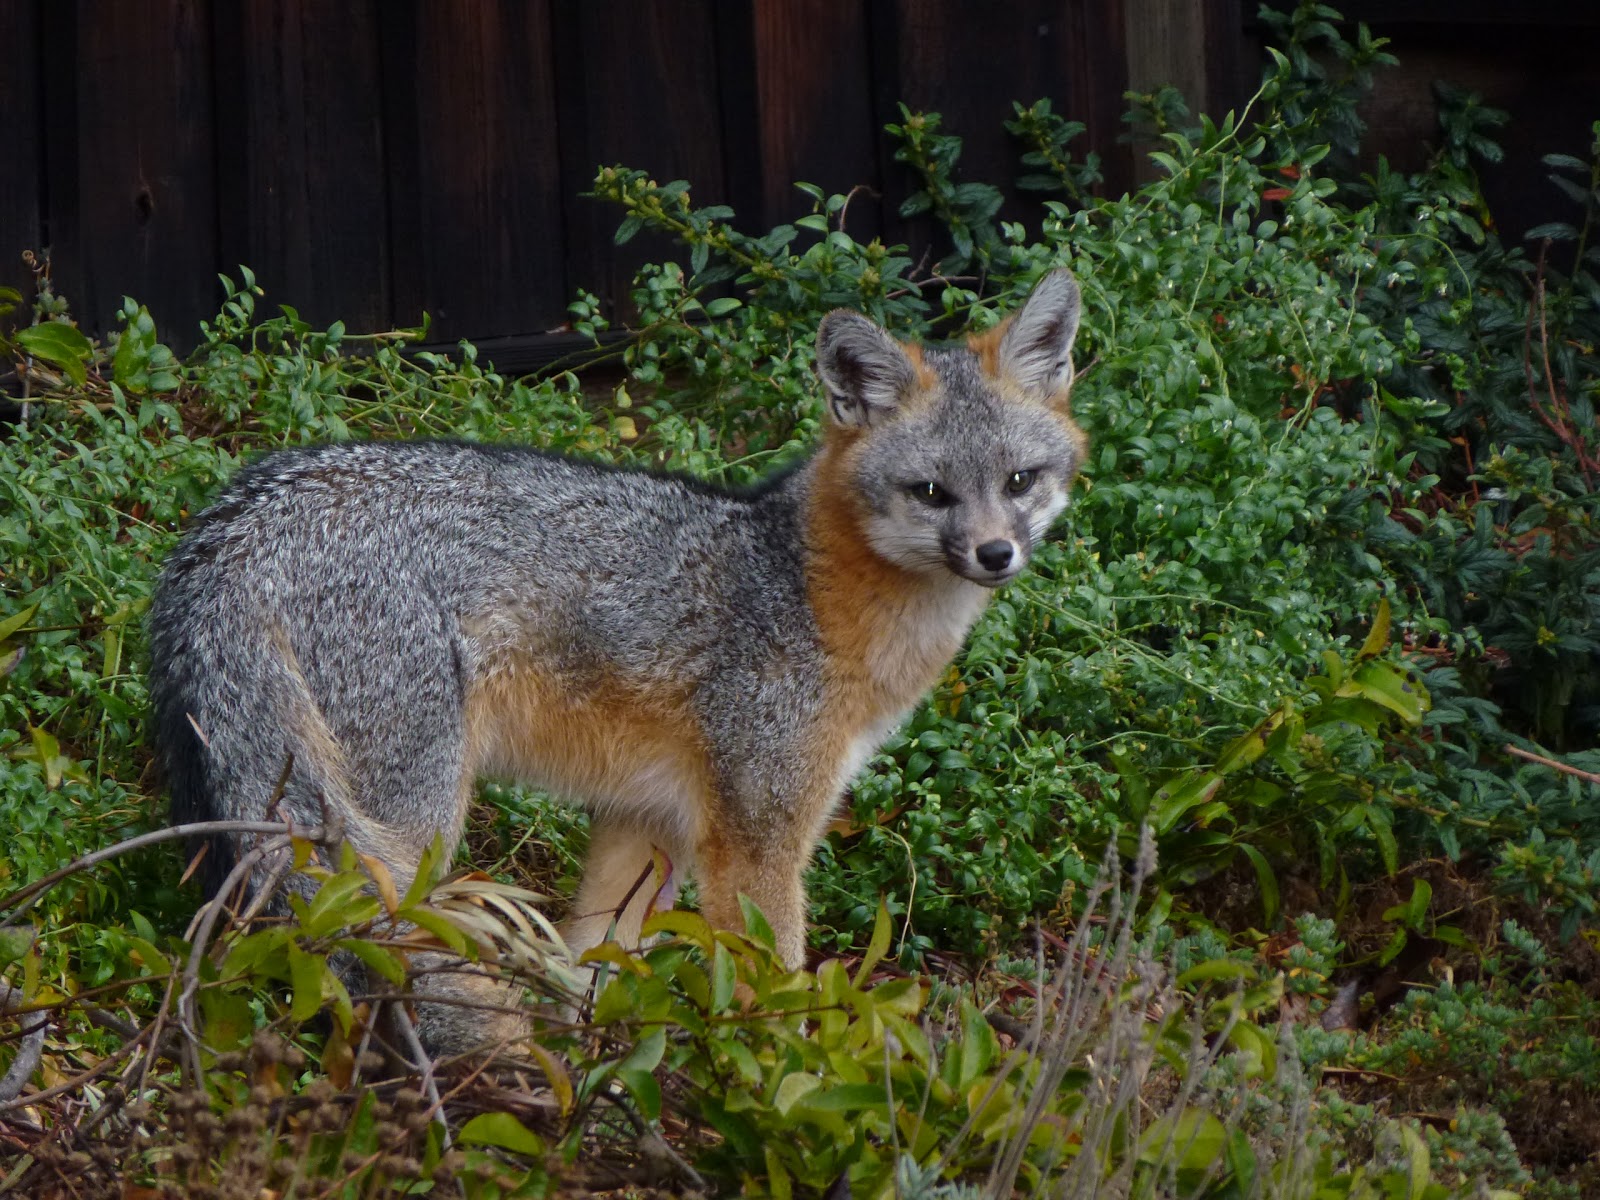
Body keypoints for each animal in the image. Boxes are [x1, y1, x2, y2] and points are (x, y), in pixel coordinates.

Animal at [147, 268, 1087, 1052]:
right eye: (932, 493)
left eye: (1020, 480)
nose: (996, 554)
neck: (806, 587)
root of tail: (234, 524)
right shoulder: (757, 840)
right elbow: (772, 988)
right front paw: (779, 1086)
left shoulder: (647, 822)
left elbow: (595, 965)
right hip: (410, 822)